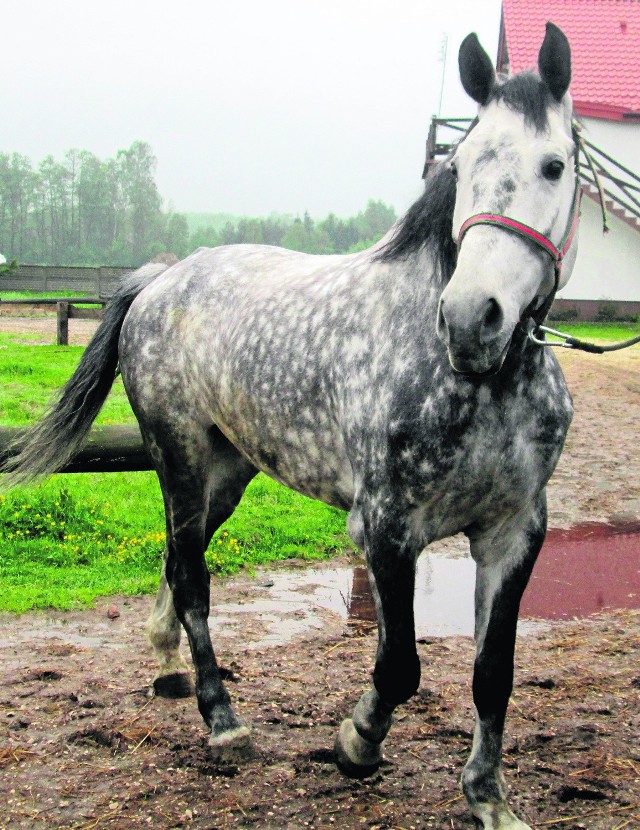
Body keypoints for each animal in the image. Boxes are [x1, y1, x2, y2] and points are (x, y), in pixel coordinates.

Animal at [1, 22, 580, 828]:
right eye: (462, 166)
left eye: (553, 165)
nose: (472, 319)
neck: (478, 379)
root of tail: (159, 280)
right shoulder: (387, 529)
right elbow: (399, 666)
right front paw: (356, 743)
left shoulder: (513, 532)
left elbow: (493, 673)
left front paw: (489, 798)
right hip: (179, 460)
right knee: (193, 576)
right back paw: (222, 720)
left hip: (227, 473)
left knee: (178, 567)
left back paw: (167, 663)